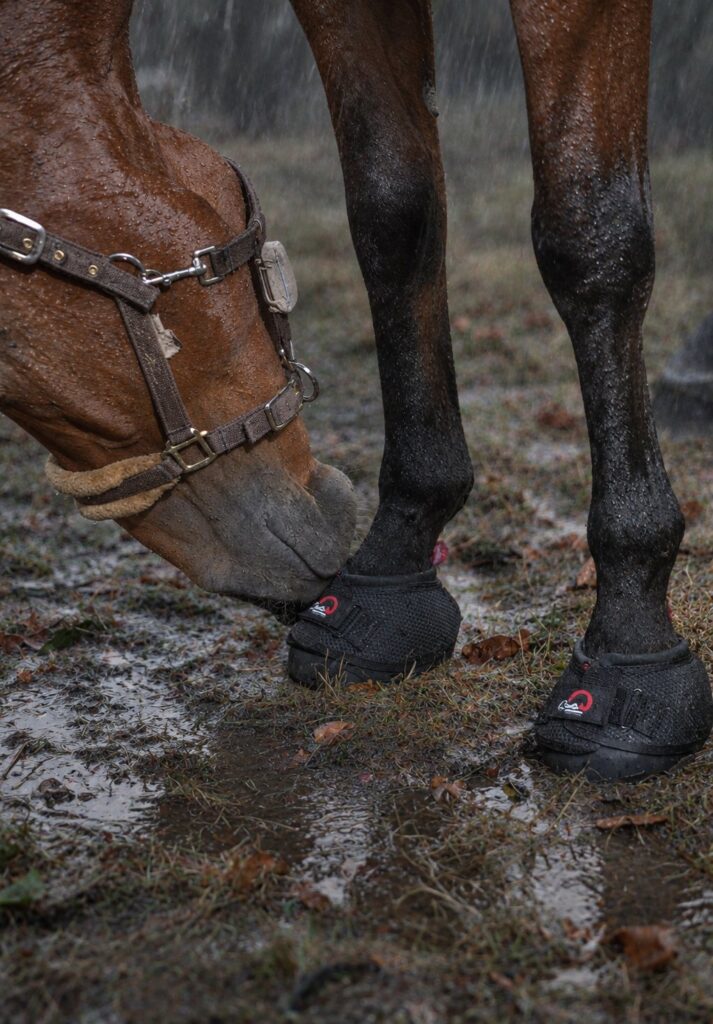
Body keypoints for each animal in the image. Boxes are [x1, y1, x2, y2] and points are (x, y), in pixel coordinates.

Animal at [1, 0, 711, 782]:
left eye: (255, 269)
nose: (326, 506)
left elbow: (590, 236)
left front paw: (630, 652)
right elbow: (394, 214)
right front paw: (392, 570)